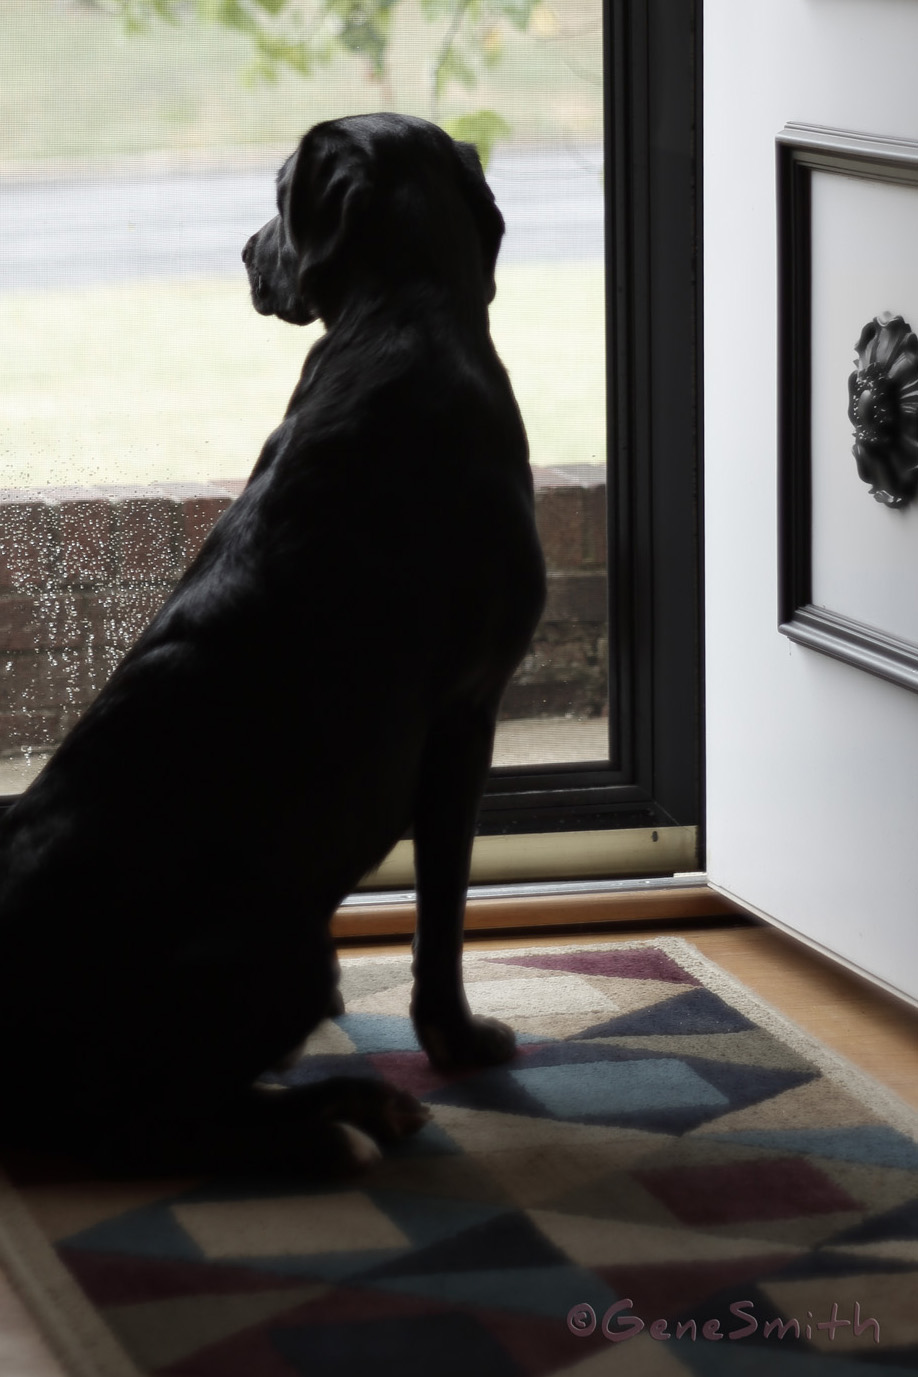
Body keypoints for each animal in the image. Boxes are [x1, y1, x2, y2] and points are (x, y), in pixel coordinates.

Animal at [0, 112, 545, 1178]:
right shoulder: (465, 720)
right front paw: (459, 1042)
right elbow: (443, 919)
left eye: (278, 191)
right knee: (150, 1123)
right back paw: (339, 1117)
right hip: (292, 948)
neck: (403, 311)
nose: (247, 252)